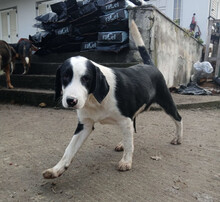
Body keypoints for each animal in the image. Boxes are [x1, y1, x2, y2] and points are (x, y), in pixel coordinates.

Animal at [42, 20, 182, 178]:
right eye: (65, 76)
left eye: (86, 79)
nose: (71, 101)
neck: (94, 100)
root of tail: (149, 65)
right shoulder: (85, 125)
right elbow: (69, 149)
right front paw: (56, 169)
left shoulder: (124, 119)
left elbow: (129, 144)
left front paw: (126, 161)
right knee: (132, 129)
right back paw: (123, 143)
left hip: (166, 101)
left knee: (178, 118)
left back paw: (178, 138)